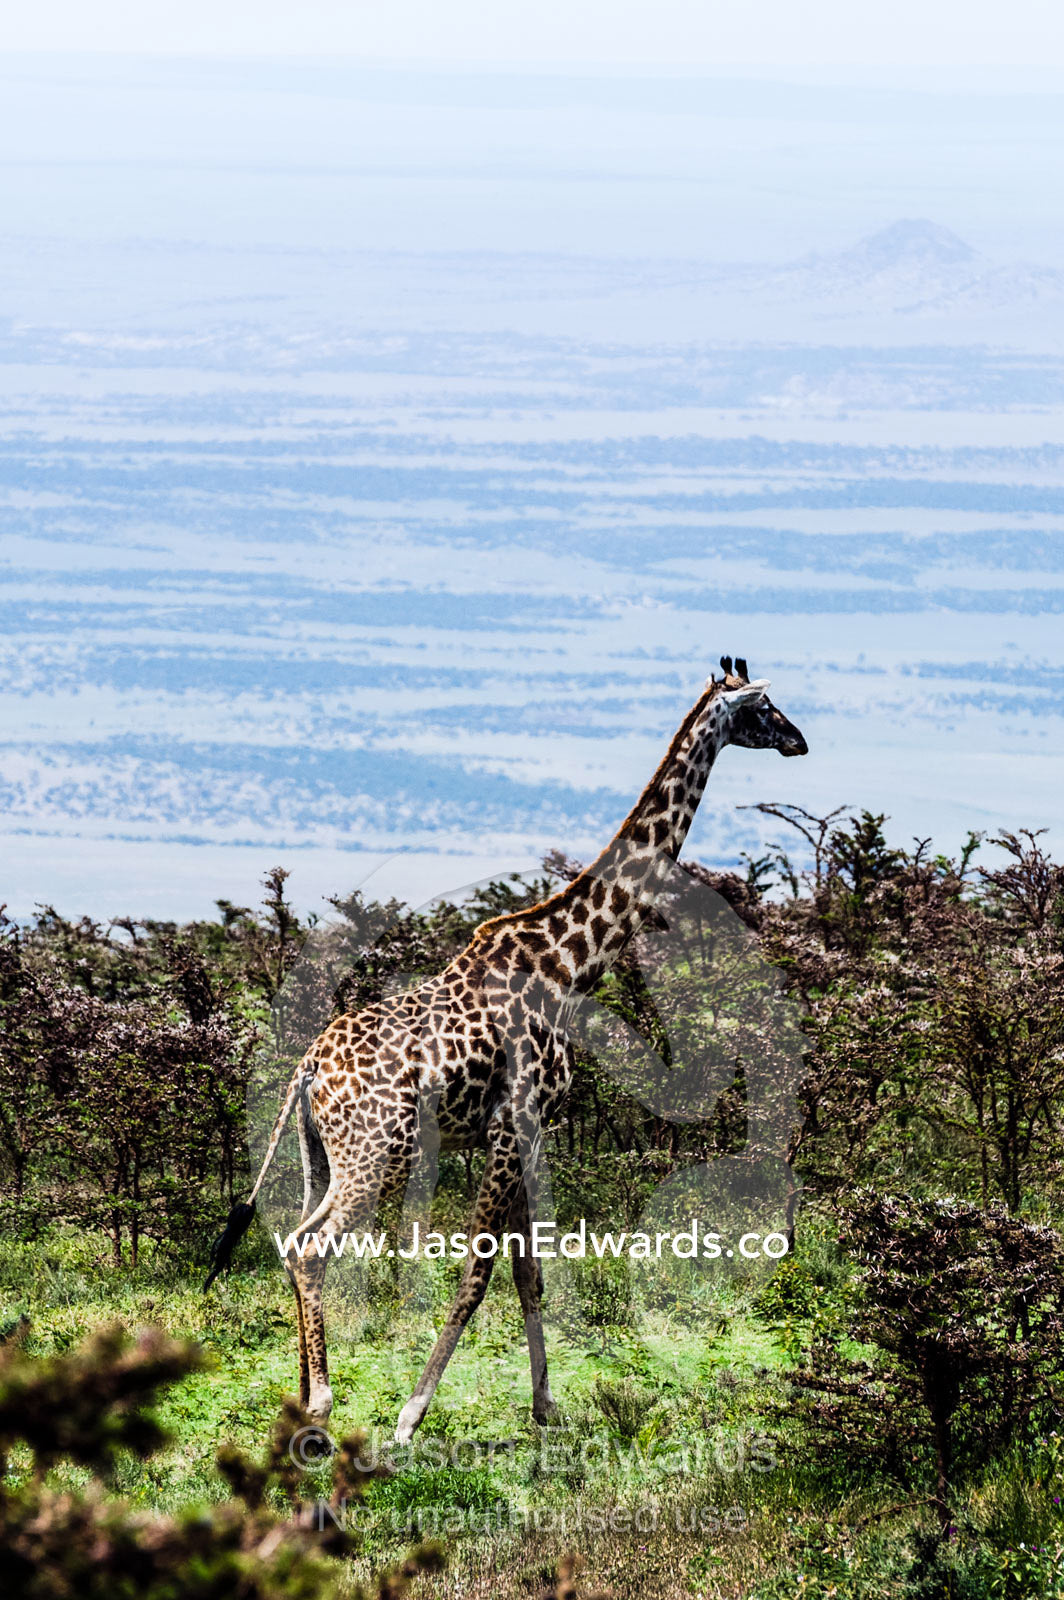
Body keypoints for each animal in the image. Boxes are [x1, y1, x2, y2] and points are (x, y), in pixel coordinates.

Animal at [204, 657, 807, 1440]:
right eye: (763, 707)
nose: (798, 740)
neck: (570, 964)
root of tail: (306, 1071)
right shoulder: (513, 1120)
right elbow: (477, 1272)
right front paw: (410, 1416)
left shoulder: (531, 1127)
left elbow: (530, 1270)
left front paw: (546, 1407)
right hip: (375, 1153)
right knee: (312, 1249)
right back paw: (325, 1404)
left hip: (322, 1155)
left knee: (293, 1240)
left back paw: (303, 1394)